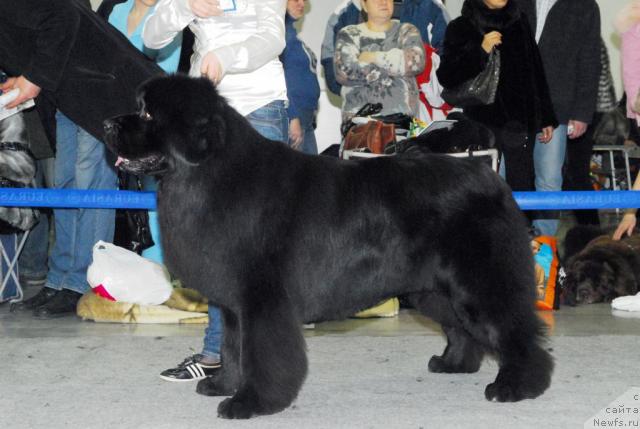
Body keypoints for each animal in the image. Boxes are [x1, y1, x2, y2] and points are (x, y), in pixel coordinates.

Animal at [102, 74, 552, 418]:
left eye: (148, 113)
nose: (107, 124)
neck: (208, 175)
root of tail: (491, 178)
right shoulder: (233, 304)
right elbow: (232, 347)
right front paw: (223, 384)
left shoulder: (262, 299)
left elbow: (261, 353)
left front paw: (251, 403)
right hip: (433, 288)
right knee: (462, 327)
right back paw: (454, 363)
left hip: (479, 283)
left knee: (513, 329)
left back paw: (518, 386)